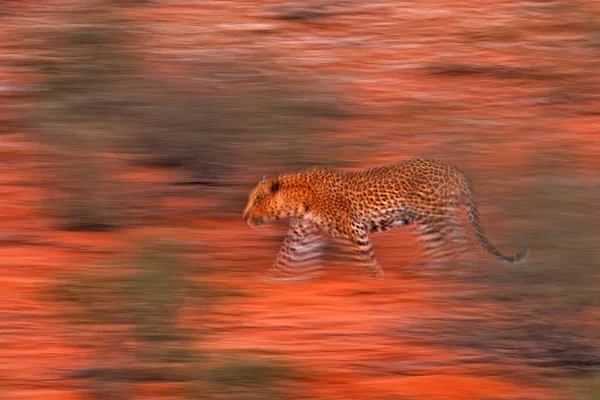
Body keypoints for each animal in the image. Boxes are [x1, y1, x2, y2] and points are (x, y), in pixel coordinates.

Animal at [241, 158, 528, 282]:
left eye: (255, 200)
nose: (244, 216)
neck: (298, 202)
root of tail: (454, 169)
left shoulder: (353, 226)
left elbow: (365, 256)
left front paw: (374, 279)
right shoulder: (303, 234)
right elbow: (287, 257)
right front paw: (272, 277)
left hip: (434, 217)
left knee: (455, 245)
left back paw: (457, 273)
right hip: (432, 220)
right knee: (451, 245)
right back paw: (442, 272)